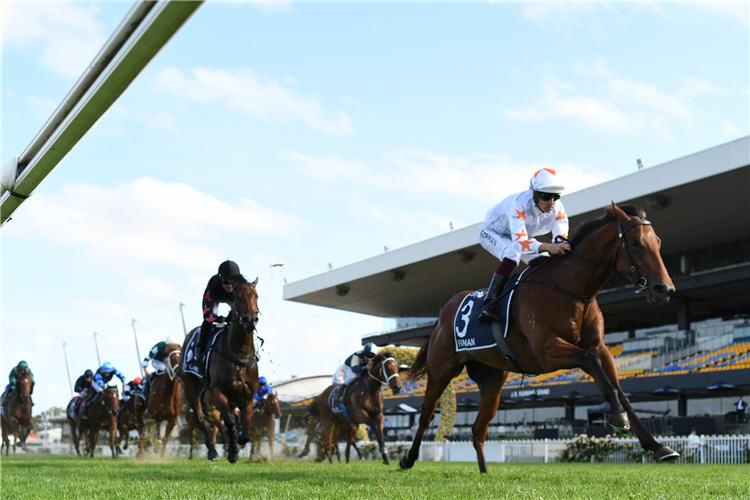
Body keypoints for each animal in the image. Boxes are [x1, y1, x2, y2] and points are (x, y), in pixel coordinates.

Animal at [178, 276, 262, 462]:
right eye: (236, 297)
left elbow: (244, 426)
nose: (250, 321)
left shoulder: (248, 396)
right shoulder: (218, 391)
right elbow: (229, 421)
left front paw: (238, 443)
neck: (239, 354)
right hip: (190, 386)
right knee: (201, 419)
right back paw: (212, 451)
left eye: (256, 296)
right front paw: (232, 451)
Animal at [402, 203, 684, 472]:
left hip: (492, 380)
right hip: (441, 370)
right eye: (635, 242)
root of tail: (443, 313)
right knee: (427, 414)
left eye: (658, 242)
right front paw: (616, 416)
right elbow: (590, 361)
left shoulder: (601, 348)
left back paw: (484, 473)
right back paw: (408, 459)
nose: (665, 289)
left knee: (478, 429)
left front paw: (657, 445)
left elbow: (618, 389)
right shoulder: (547, 352)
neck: (570, 288)